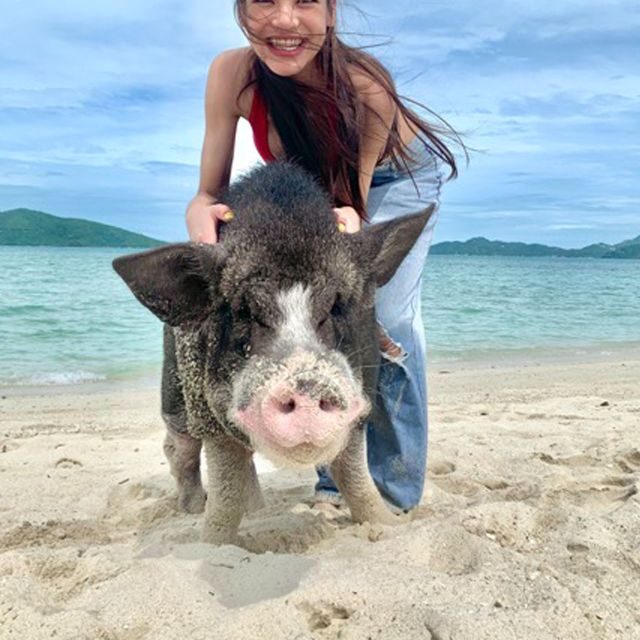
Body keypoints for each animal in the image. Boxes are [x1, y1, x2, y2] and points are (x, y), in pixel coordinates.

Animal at [113, 162, 433, 545]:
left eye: (335, 306)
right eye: (243, 311)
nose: (306, 384)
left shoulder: (361, 402)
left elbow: (355, 476)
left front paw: (394, 525)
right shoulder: (207, 412)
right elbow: (225, 491)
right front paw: (212, 543)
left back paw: (258, 510)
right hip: (174, 393)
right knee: (179, 449)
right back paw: (192, 509)